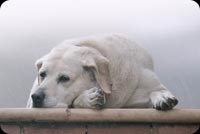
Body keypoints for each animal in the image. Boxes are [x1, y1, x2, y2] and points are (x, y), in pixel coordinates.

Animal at [27, 34, 178, 110]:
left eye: (64, 78)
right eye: (42, 74)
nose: (36, 97)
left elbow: (157, 90)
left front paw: (162, 97)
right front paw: (89, 98)